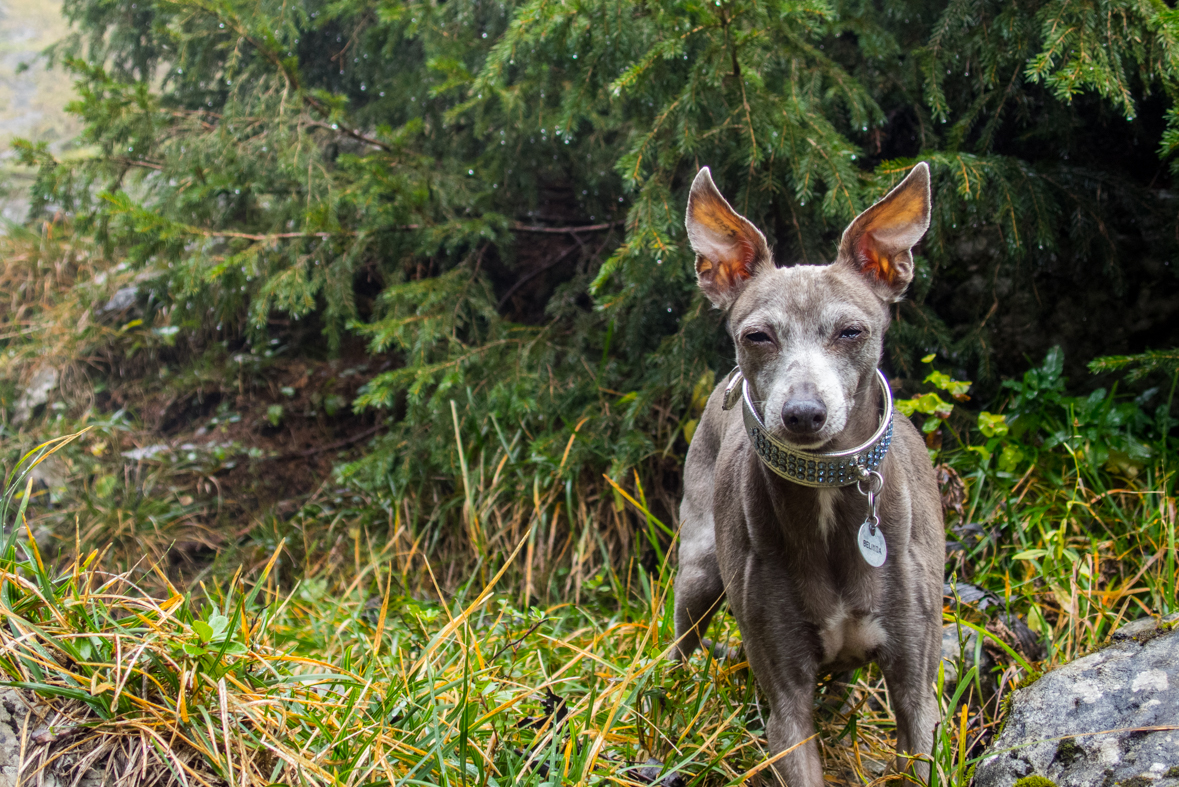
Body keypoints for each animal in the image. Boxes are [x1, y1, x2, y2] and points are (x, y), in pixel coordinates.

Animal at [679, 162, 943, 782]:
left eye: (851, 331)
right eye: (757, 335)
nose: (802, 413)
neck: (827, 500)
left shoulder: (918, 696)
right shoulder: (787, 705)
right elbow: (791, 726)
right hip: (697, 574)